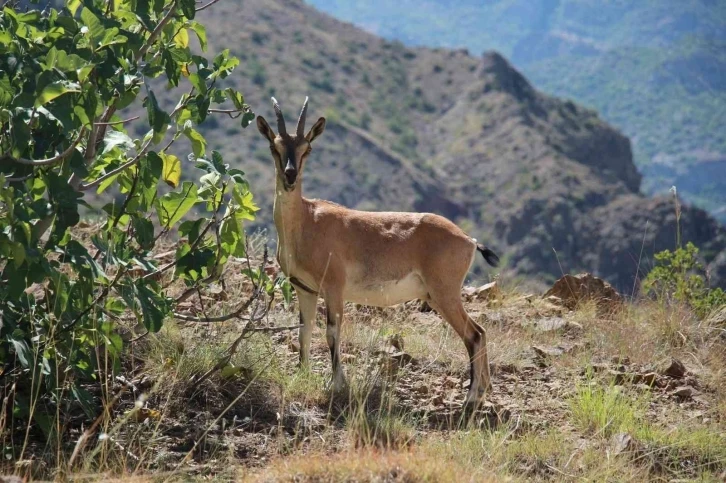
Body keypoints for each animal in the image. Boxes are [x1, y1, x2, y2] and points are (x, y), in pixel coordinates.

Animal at [256, 97, 500, 404]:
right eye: (274, 146)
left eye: (307, 148)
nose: (290, 176)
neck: (306, 221)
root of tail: (468, 239)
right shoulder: (305, 290)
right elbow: (304, 332)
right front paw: (302, 375)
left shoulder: (334, 289)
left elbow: (332, 333)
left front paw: (337, 384)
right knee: (480, 333)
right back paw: (482, 392)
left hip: (445, 295)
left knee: (475, 334)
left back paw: (471, 399)